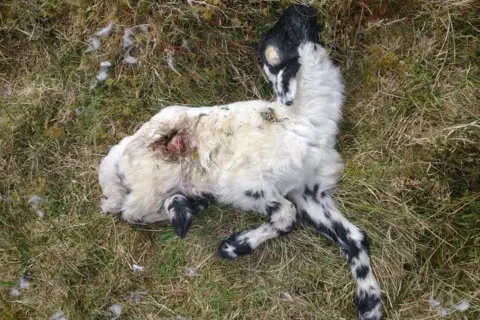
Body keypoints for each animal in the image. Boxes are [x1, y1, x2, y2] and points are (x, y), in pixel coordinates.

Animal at [97, 5, 382, 320]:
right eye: (284, 34)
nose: (300, 7)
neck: (303, 118)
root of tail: (119, 152)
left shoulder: (309, 191)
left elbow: (354, 238)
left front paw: (370, 303)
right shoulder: (245, 183)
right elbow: (286, 216)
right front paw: (233, 246)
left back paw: (191, 204)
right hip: (152, 176)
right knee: (129, 211)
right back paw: (184, 209)